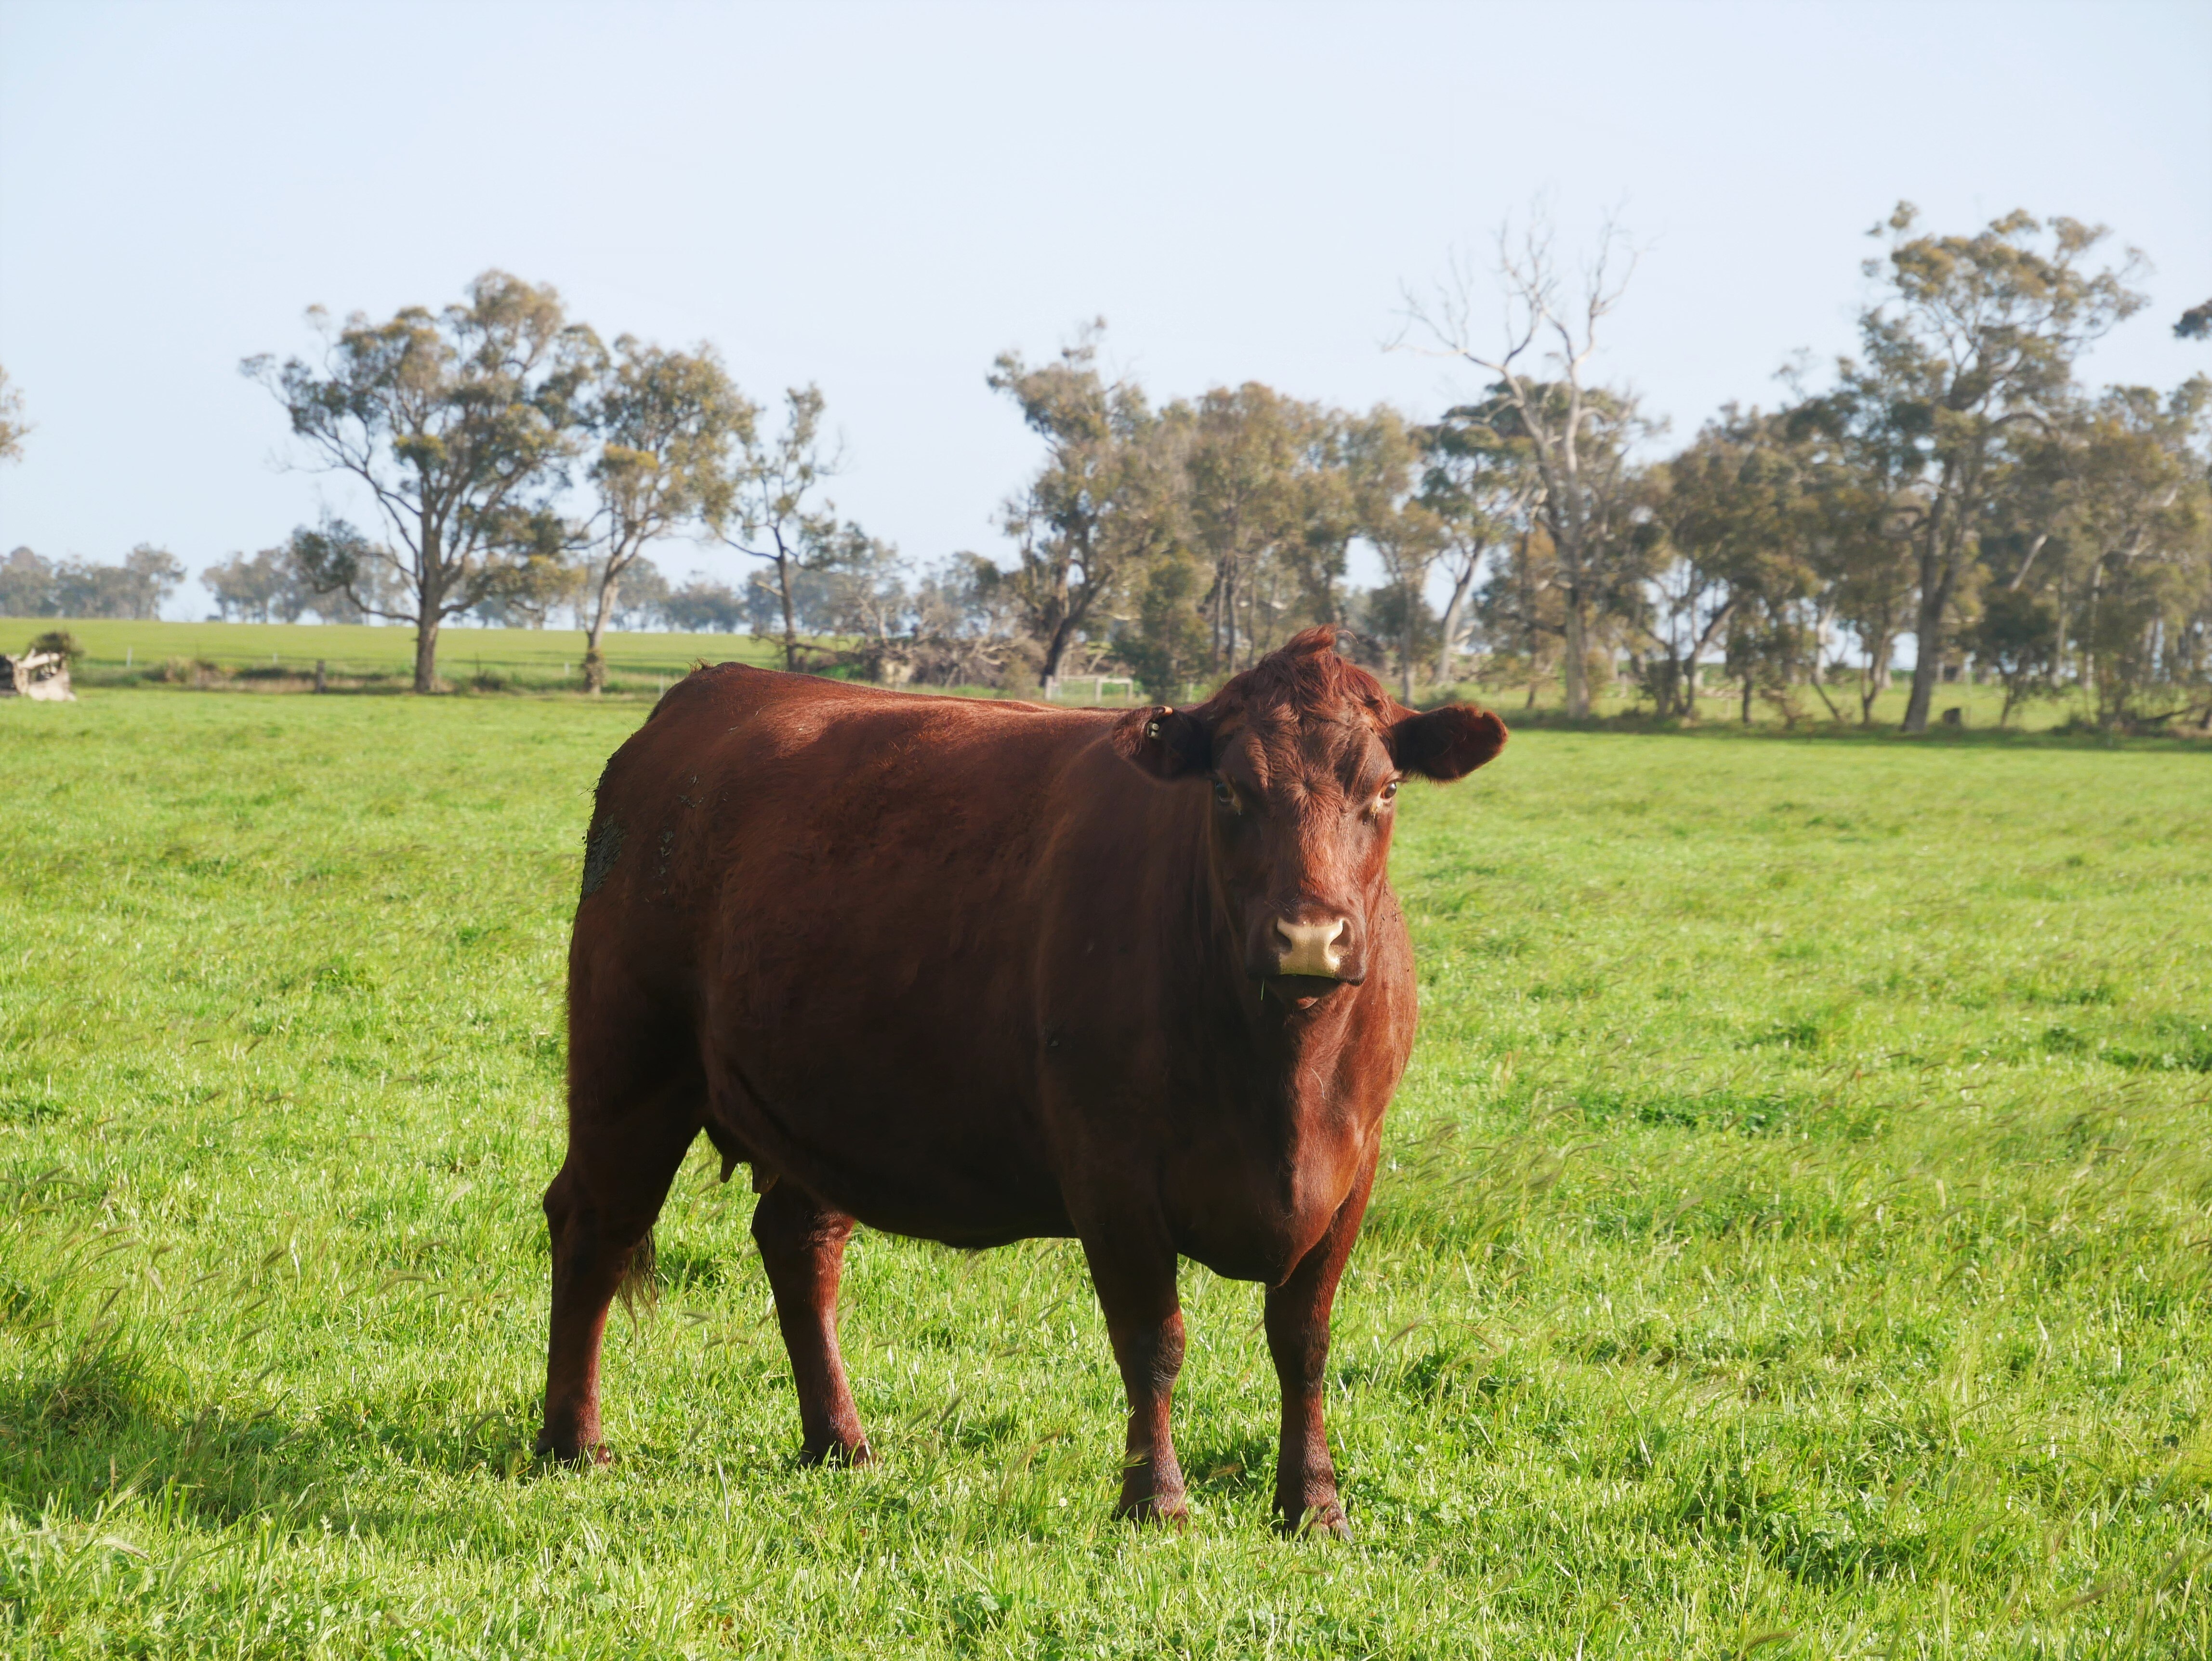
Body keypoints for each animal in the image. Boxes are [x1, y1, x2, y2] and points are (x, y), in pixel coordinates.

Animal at [539, 626, 1507, 1535]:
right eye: (1229, 791)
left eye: (1385, 791)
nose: (1310, 936)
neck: (1281, 1077)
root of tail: (715, 686)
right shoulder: (1111, 1170)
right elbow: (1152, 1341)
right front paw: (1157, 1500)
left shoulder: (1352, 1172)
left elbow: (1302, 1341)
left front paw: (1313, 1504)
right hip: (631, 1063)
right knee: (595, 1223)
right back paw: (572, 1441)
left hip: (818, 1101)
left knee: (799, 1245)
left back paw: (840, 1442)